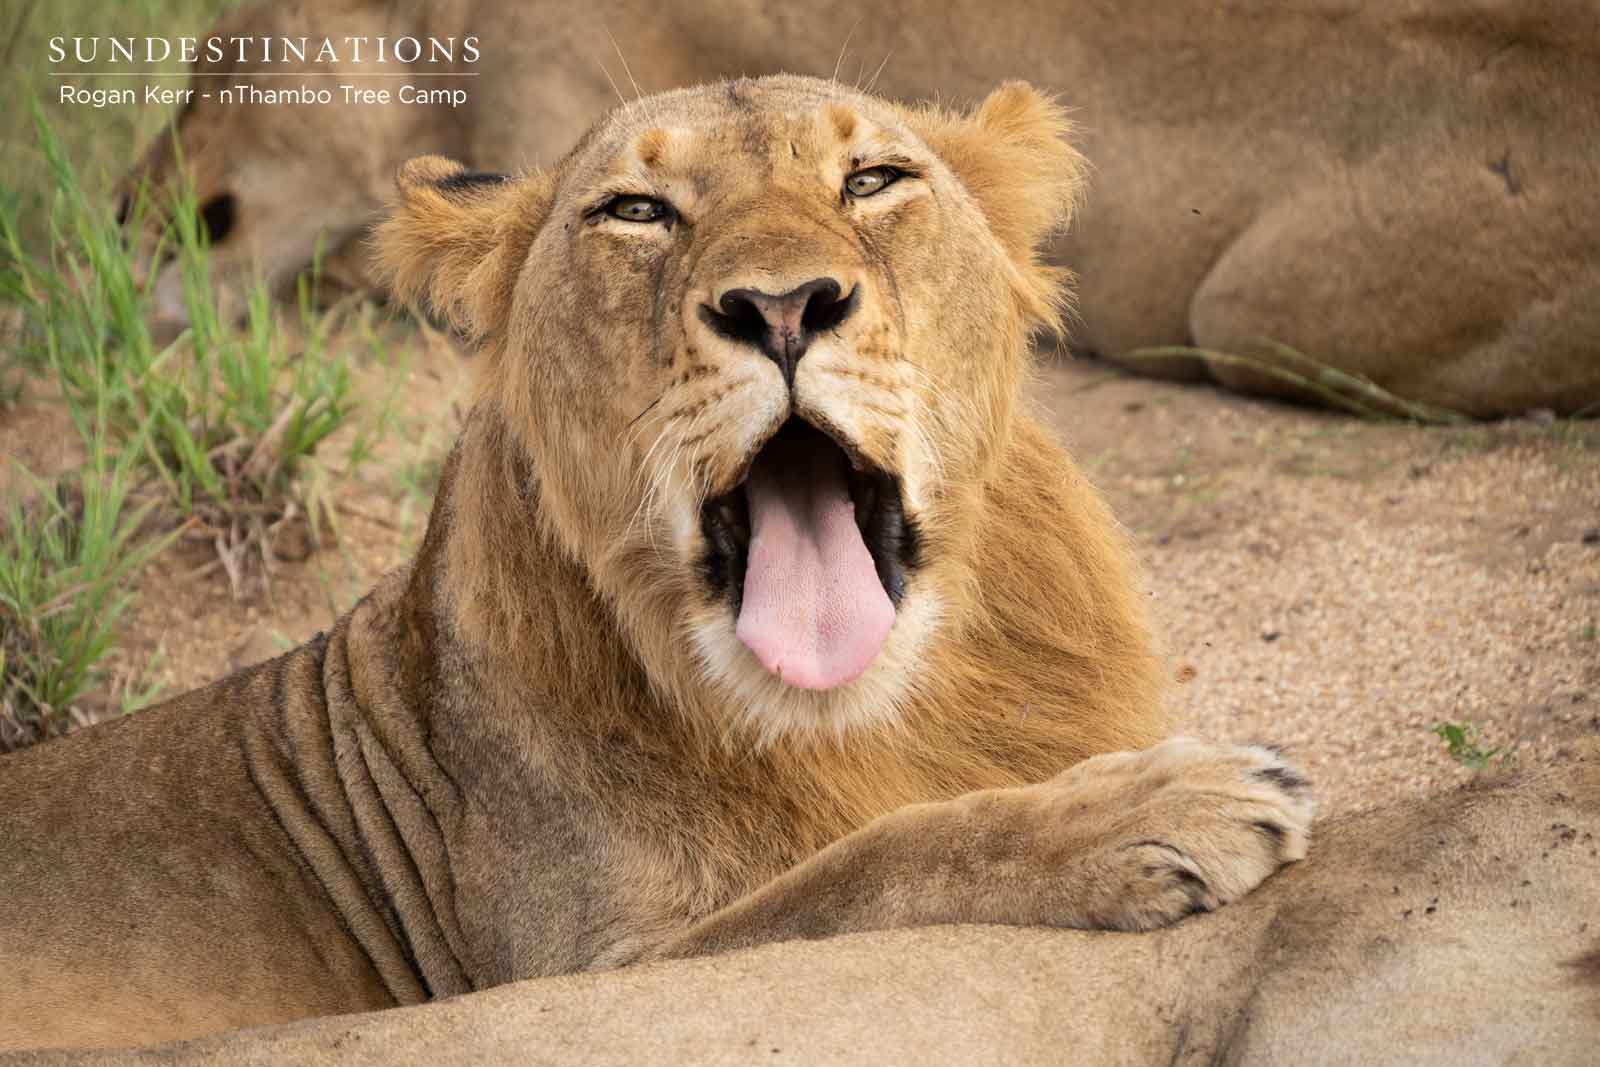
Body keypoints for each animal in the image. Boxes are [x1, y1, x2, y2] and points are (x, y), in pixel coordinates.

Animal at [0, 77, 1313, 1052]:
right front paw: (1161, 805)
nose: (782, 305)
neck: (859, 718)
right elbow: (867, 867)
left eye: (871, 180)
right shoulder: (582, 970)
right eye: (637, 211)